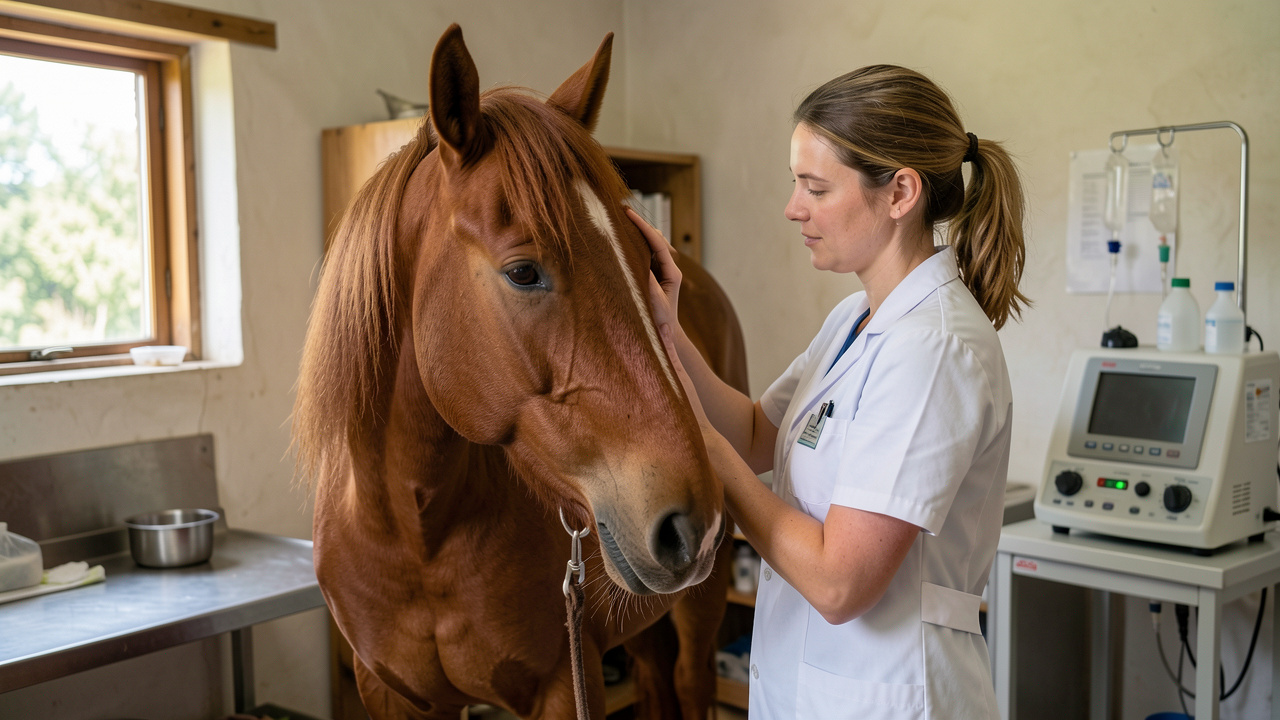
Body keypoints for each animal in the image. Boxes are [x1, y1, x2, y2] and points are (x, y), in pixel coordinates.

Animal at [294, 24, 748, 720]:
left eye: (649, 261)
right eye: (524, 272)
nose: (692, 524)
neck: (416, 533)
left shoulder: (562, 685)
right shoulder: (390, 692)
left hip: (701, 602)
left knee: (692, 681)